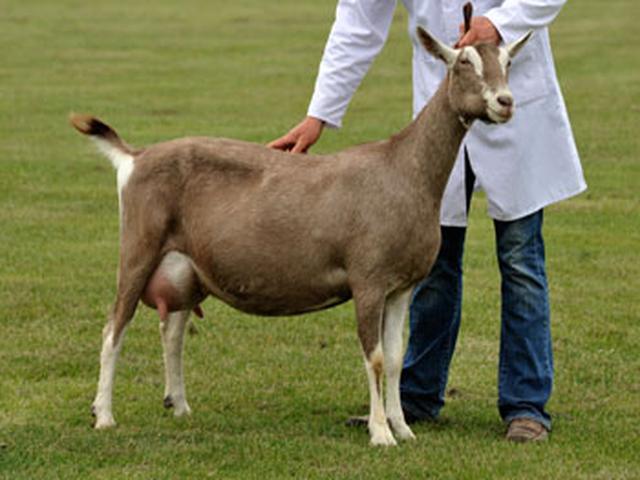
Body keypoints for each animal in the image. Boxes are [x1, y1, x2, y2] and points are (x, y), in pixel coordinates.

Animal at [71, 27, 531, 446]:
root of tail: (134, 158)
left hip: (187, 266)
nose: (505, 102)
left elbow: (396, 358)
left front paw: (402, 428)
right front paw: (381, 433)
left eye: (509, 62)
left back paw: (179, 405)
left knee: (173, 328)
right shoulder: (368, 279)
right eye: (463, 62)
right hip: (138, 248)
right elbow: (375, 357)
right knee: (114, 327)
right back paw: (104, 415)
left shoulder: (402, 286)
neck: (403, 170)